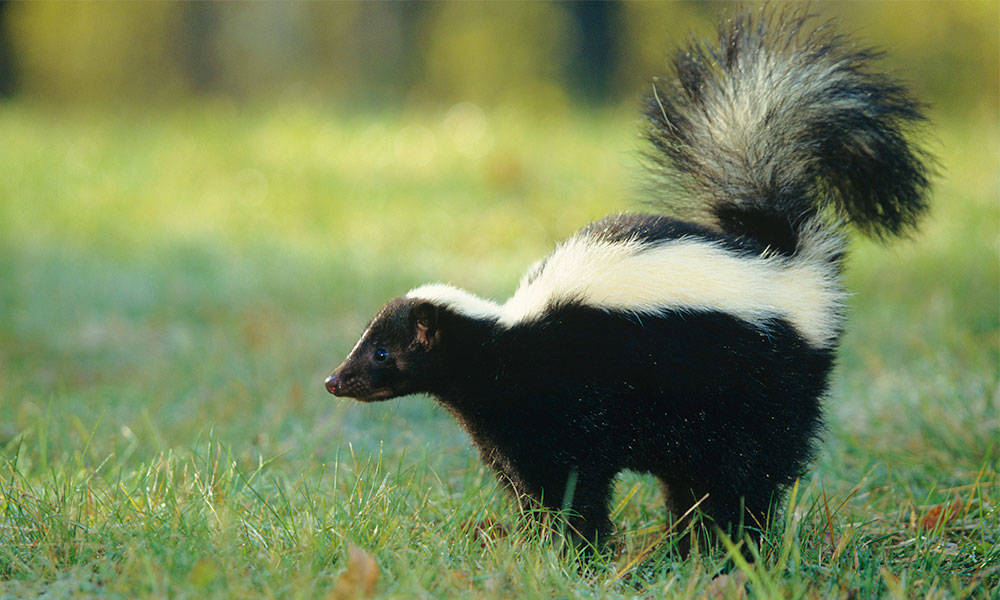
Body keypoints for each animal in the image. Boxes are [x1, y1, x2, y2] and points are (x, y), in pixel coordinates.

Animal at [326, 9, 928, 552]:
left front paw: (577, 550)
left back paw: (730, 546)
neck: (503, 341)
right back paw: (689, 544)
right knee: (697, 481)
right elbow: (529, 487)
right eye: (365, 344)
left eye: (381, 352)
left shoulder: (564, 407)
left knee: (746, 475)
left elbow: (573, 485)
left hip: (758, 389)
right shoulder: (510, 429)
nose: (334, 381)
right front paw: (538, 544)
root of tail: (781, 259)